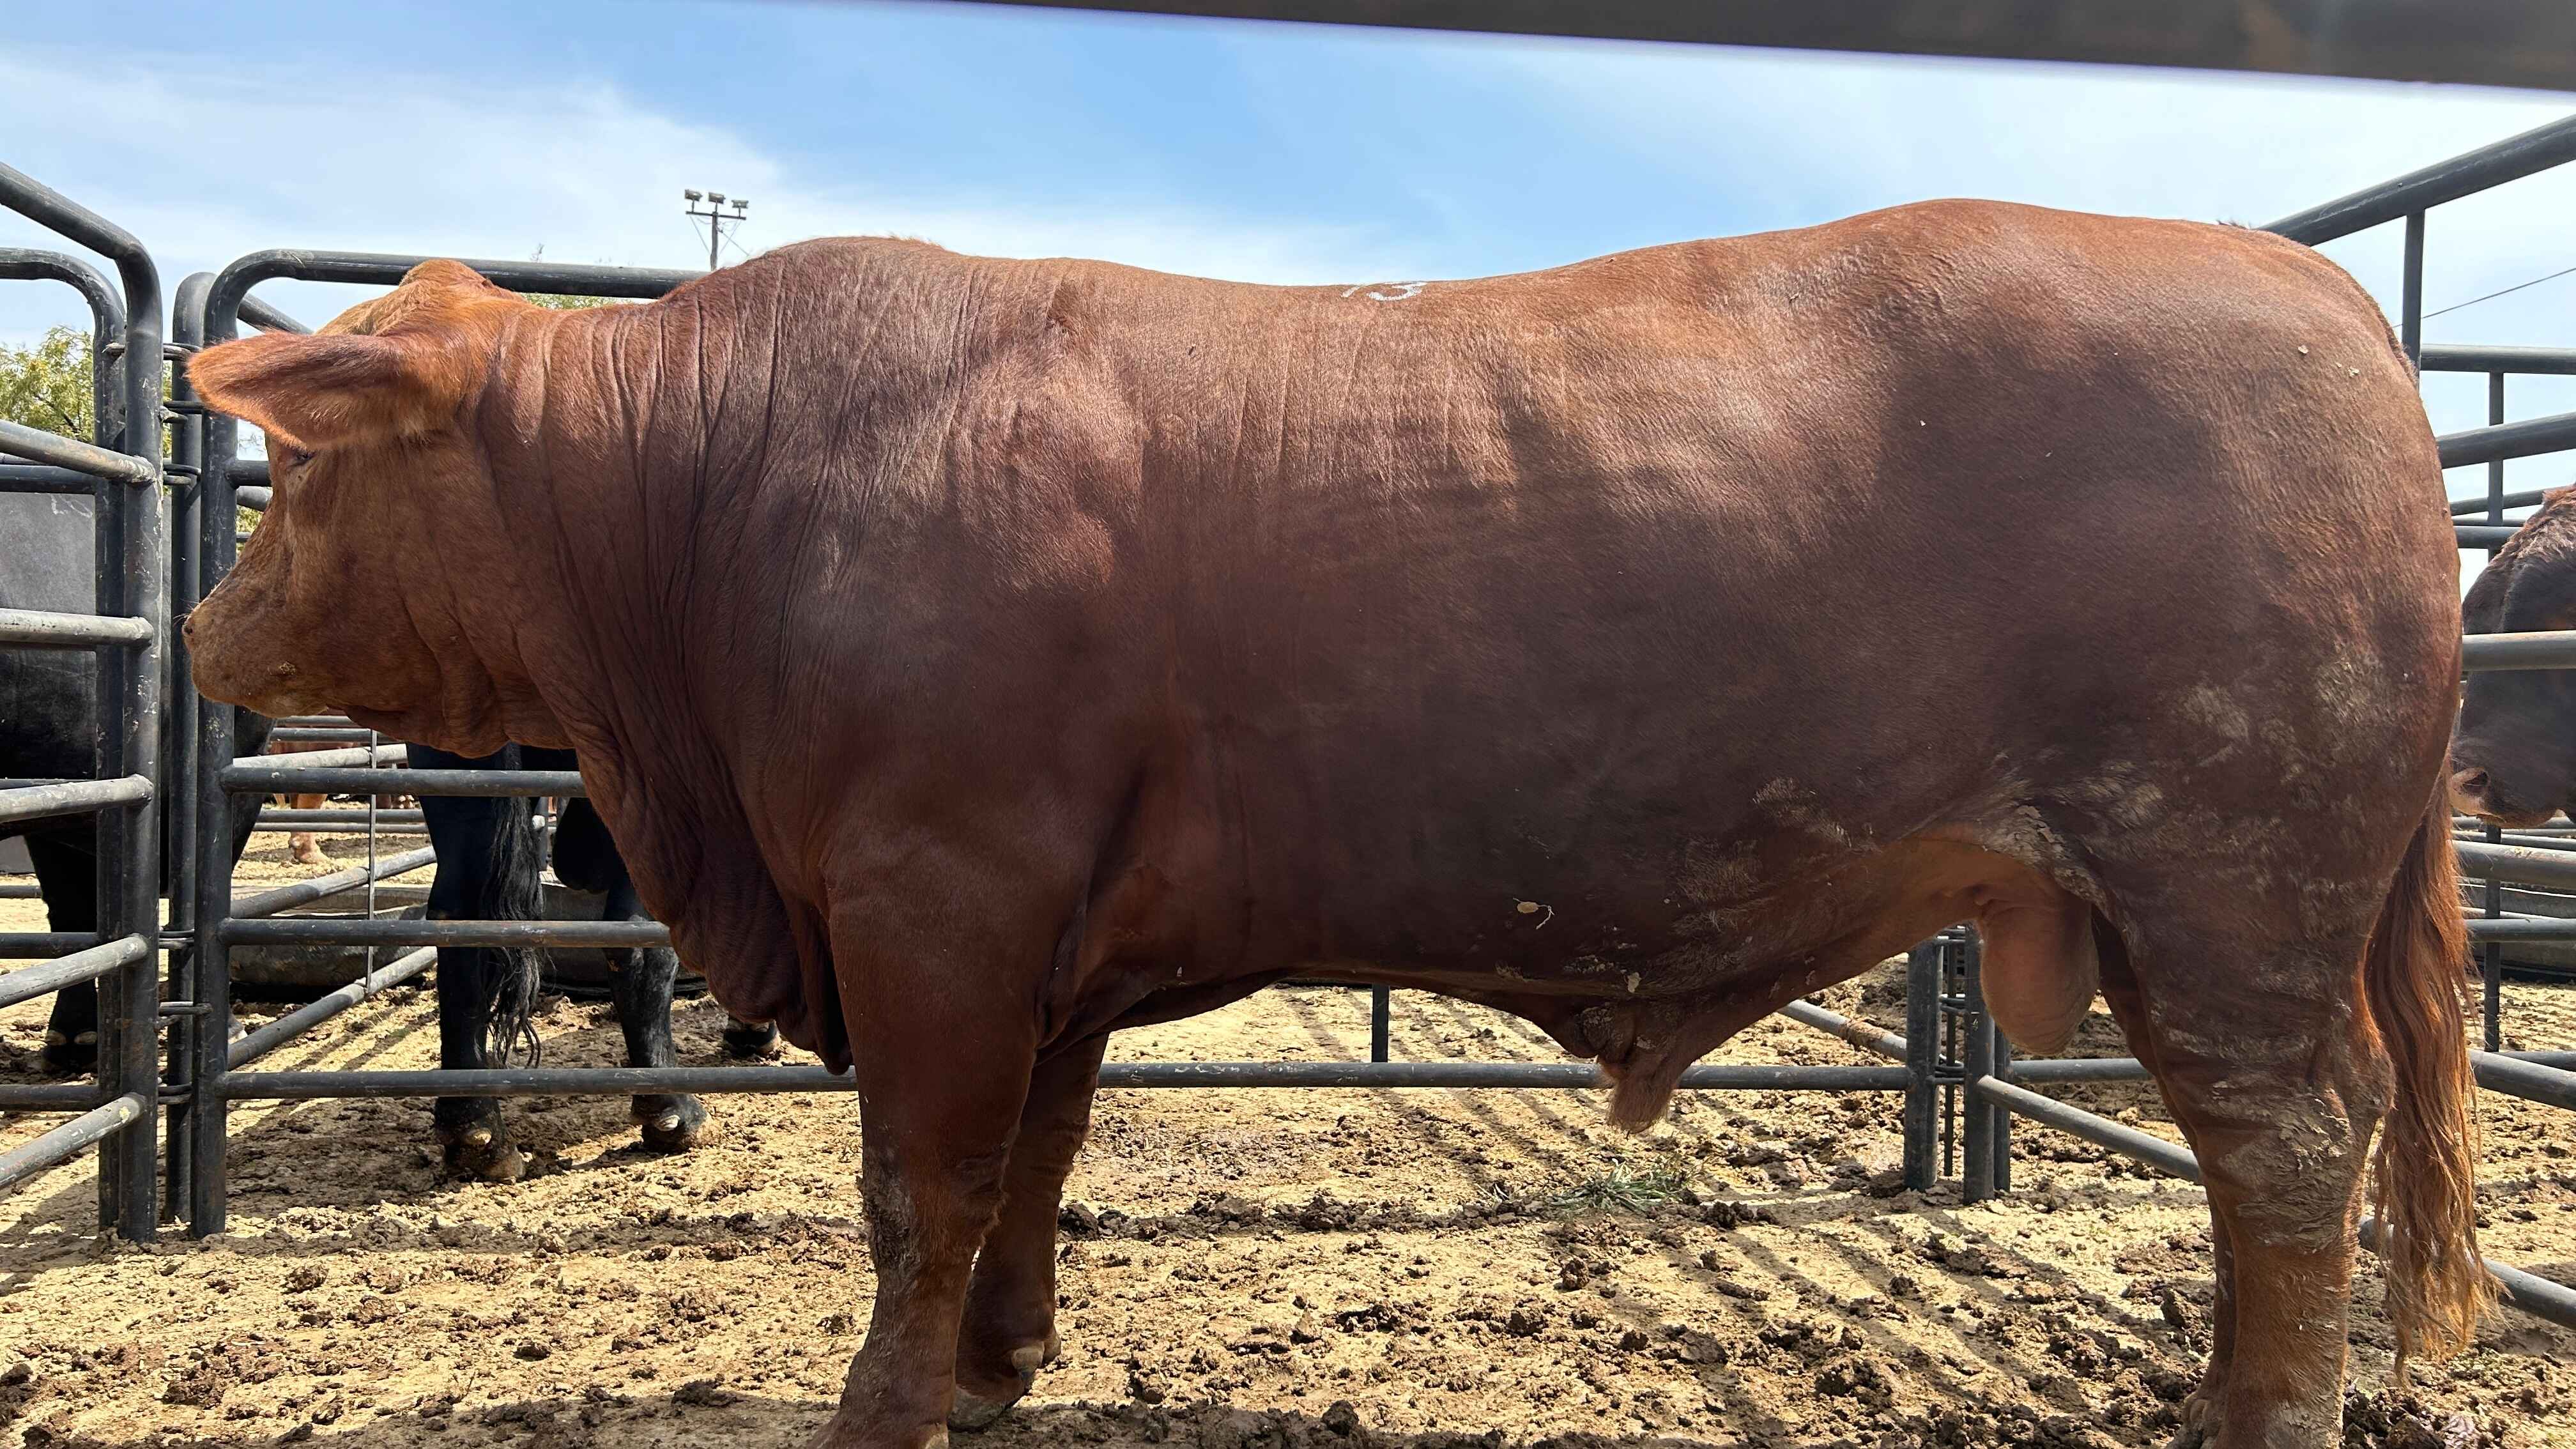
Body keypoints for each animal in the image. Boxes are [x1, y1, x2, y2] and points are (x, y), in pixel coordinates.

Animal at [183, 202, 2486, 1449]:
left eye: (299, 471)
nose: (202, 622)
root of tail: (2322, 303)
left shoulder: (937, 897)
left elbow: (922, 1183)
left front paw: (889, 1397)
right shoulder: (1048, 935)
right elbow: (1036, 1157)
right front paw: (1011, 1358)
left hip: (2229, 877)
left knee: (2290, 1148)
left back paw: (2251, 1408)